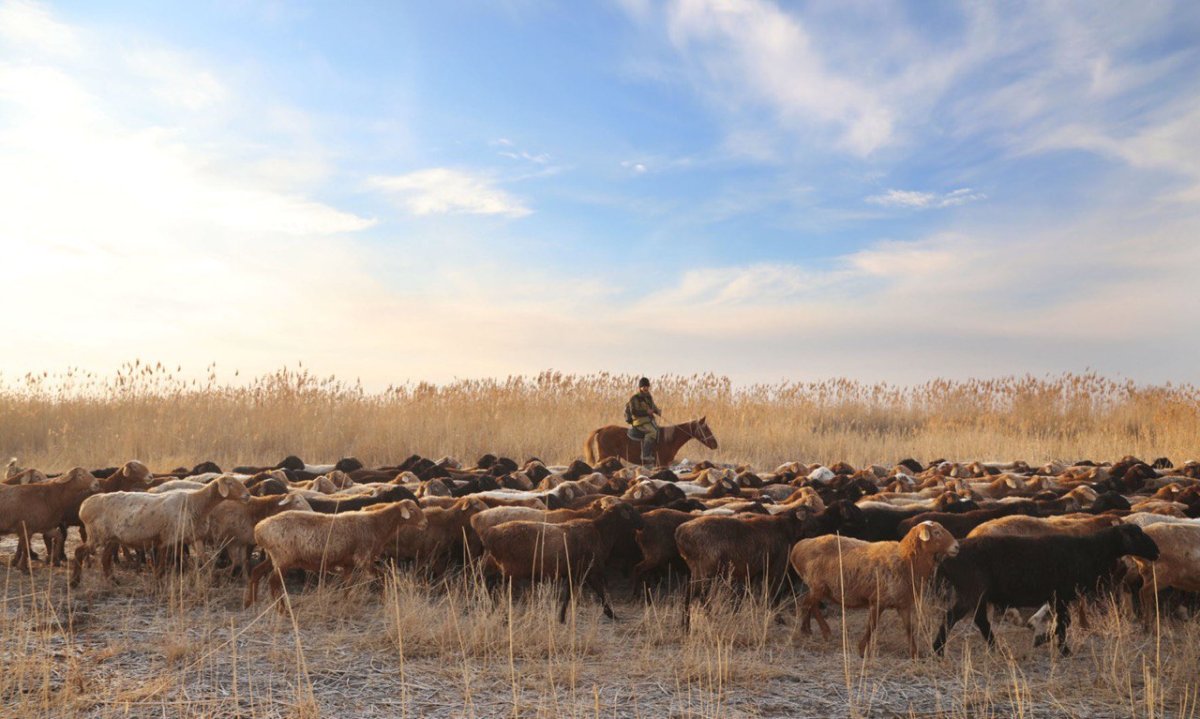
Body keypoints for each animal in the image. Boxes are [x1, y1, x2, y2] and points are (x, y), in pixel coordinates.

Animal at [70, 477, 250, 585]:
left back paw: (113, 581)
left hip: (112, 538)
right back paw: (75, 581)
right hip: (97, 534)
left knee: (105, 558)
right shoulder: (167, 538)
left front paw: (213, 578)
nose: (248, 495)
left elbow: (206, 560)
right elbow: (162, 564)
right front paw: (158, 583)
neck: (196, 504)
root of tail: (85, 505)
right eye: (230, 483)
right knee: (79, 551)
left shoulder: (195, 537)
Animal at [246, 496, 429, 609]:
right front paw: (384, 599)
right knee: (273, 582)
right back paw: (281, 610)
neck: (377, 524)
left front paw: (346, 602)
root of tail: (259, 529)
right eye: (412, 510)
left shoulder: (348, 563)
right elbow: (383, 576)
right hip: (283, 558)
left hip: (273, 558)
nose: (425, 523)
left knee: (256, 572)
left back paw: (251, 602)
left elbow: (348, 585)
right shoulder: (363, 559)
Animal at [480, 501, 648, 624]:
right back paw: (499, 614)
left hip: (498, 566)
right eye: (631, 511)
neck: (600, 532)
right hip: (510, 570)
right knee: (491, 584)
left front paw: (561, 617)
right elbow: (600, 593)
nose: (643, 524)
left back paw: (492, 611)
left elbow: (568, 595)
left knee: (488, 582)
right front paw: (612, 614)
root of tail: (490, 534)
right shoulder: (588, 571)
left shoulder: (574, 573)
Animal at [585, 415, 715, 468]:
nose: (715, 444)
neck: (669, 439)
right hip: (605, 455)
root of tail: (602, 429)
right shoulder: (662, 463)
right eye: (706, 429)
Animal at [931, 523, 1156, 657]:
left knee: (980, 621)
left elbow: (1061, 622)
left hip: (978, 594)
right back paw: (938, 649)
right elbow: (1064, 623)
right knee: (952, 617)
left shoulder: (1057, 596)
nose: (1157, 551)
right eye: (1136, 535)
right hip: (971, 591)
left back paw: (996, 649)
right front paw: (1056, 646)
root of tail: (947, 557)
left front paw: (1049, 641)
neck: (1091, 550)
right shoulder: (1061, 594)